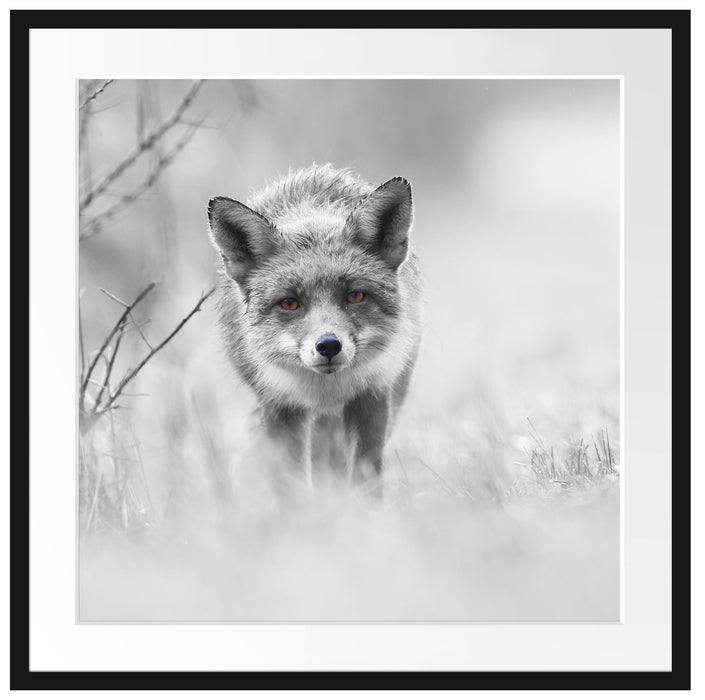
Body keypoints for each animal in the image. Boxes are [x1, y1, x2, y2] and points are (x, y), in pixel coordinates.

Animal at [207, 163, 422, 489]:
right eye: (289, 303)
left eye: (354, 296)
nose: (328, 345)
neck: (326, 390)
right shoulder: (279, 405)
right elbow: (290, 484)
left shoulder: (372, 395)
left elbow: (365, 477)